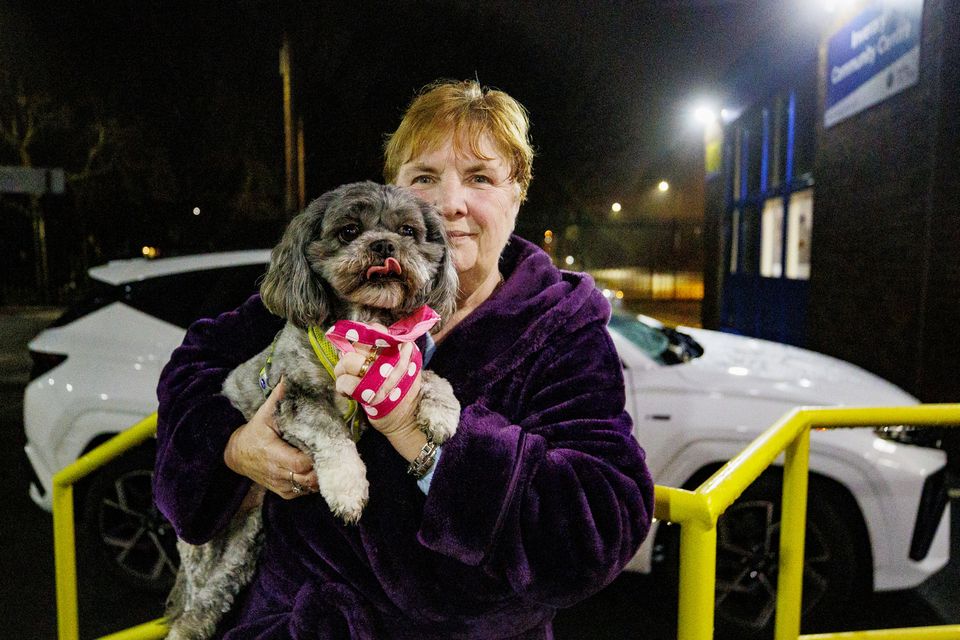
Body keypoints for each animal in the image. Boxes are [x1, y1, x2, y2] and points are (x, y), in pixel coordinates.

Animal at [164, 181, 462, 640]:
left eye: (408, 231)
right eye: (348, 230)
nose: (383, 245)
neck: (365, 331)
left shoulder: (395, 365)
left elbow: (428, 377)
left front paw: (442, 411)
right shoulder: (293, 399)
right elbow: (332, 435)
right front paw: (348, 489)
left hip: (241, 550)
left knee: (207, 608)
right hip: (206, 553)